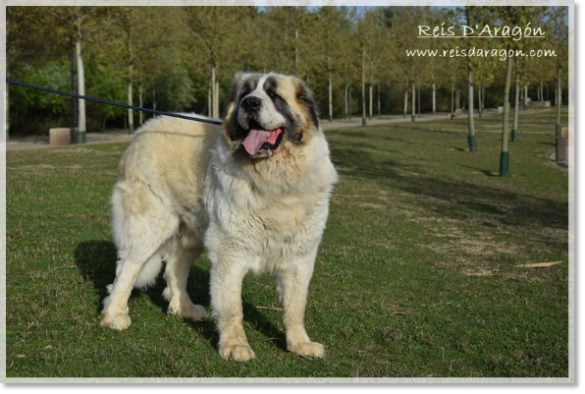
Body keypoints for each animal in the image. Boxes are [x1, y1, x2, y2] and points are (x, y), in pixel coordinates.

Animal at [100, 72, 338, 362]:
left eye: (274, 95)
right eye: (245, 94)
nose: (250, 104)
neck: (274, 180)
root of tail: (145, 129)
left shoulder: (299, 257)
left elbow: (295, 306)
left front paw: (300, 343)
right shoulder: (230, 253)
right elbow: (233, 307)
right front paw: (235, 346)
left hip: (193, 233)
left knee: (174, 268)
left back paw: (184, 308)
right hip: (151, 225)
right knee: (127, 269)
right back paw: (114, 315)